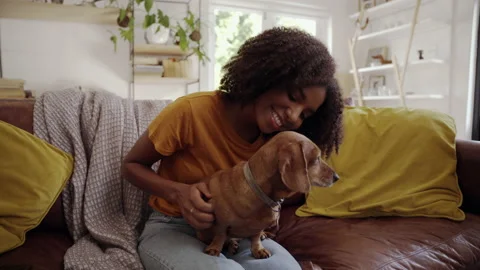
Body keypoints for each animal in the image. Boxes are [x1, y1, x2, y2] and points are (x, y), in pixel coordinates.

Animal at [197, 131, 340, 260]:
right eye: (317, 159)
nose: (337, 177)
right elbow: (220, 235)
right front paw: (215, 248)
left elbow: (255, 238)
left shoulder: (258, 227)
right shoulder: (221, 222)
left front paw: (258, 249)